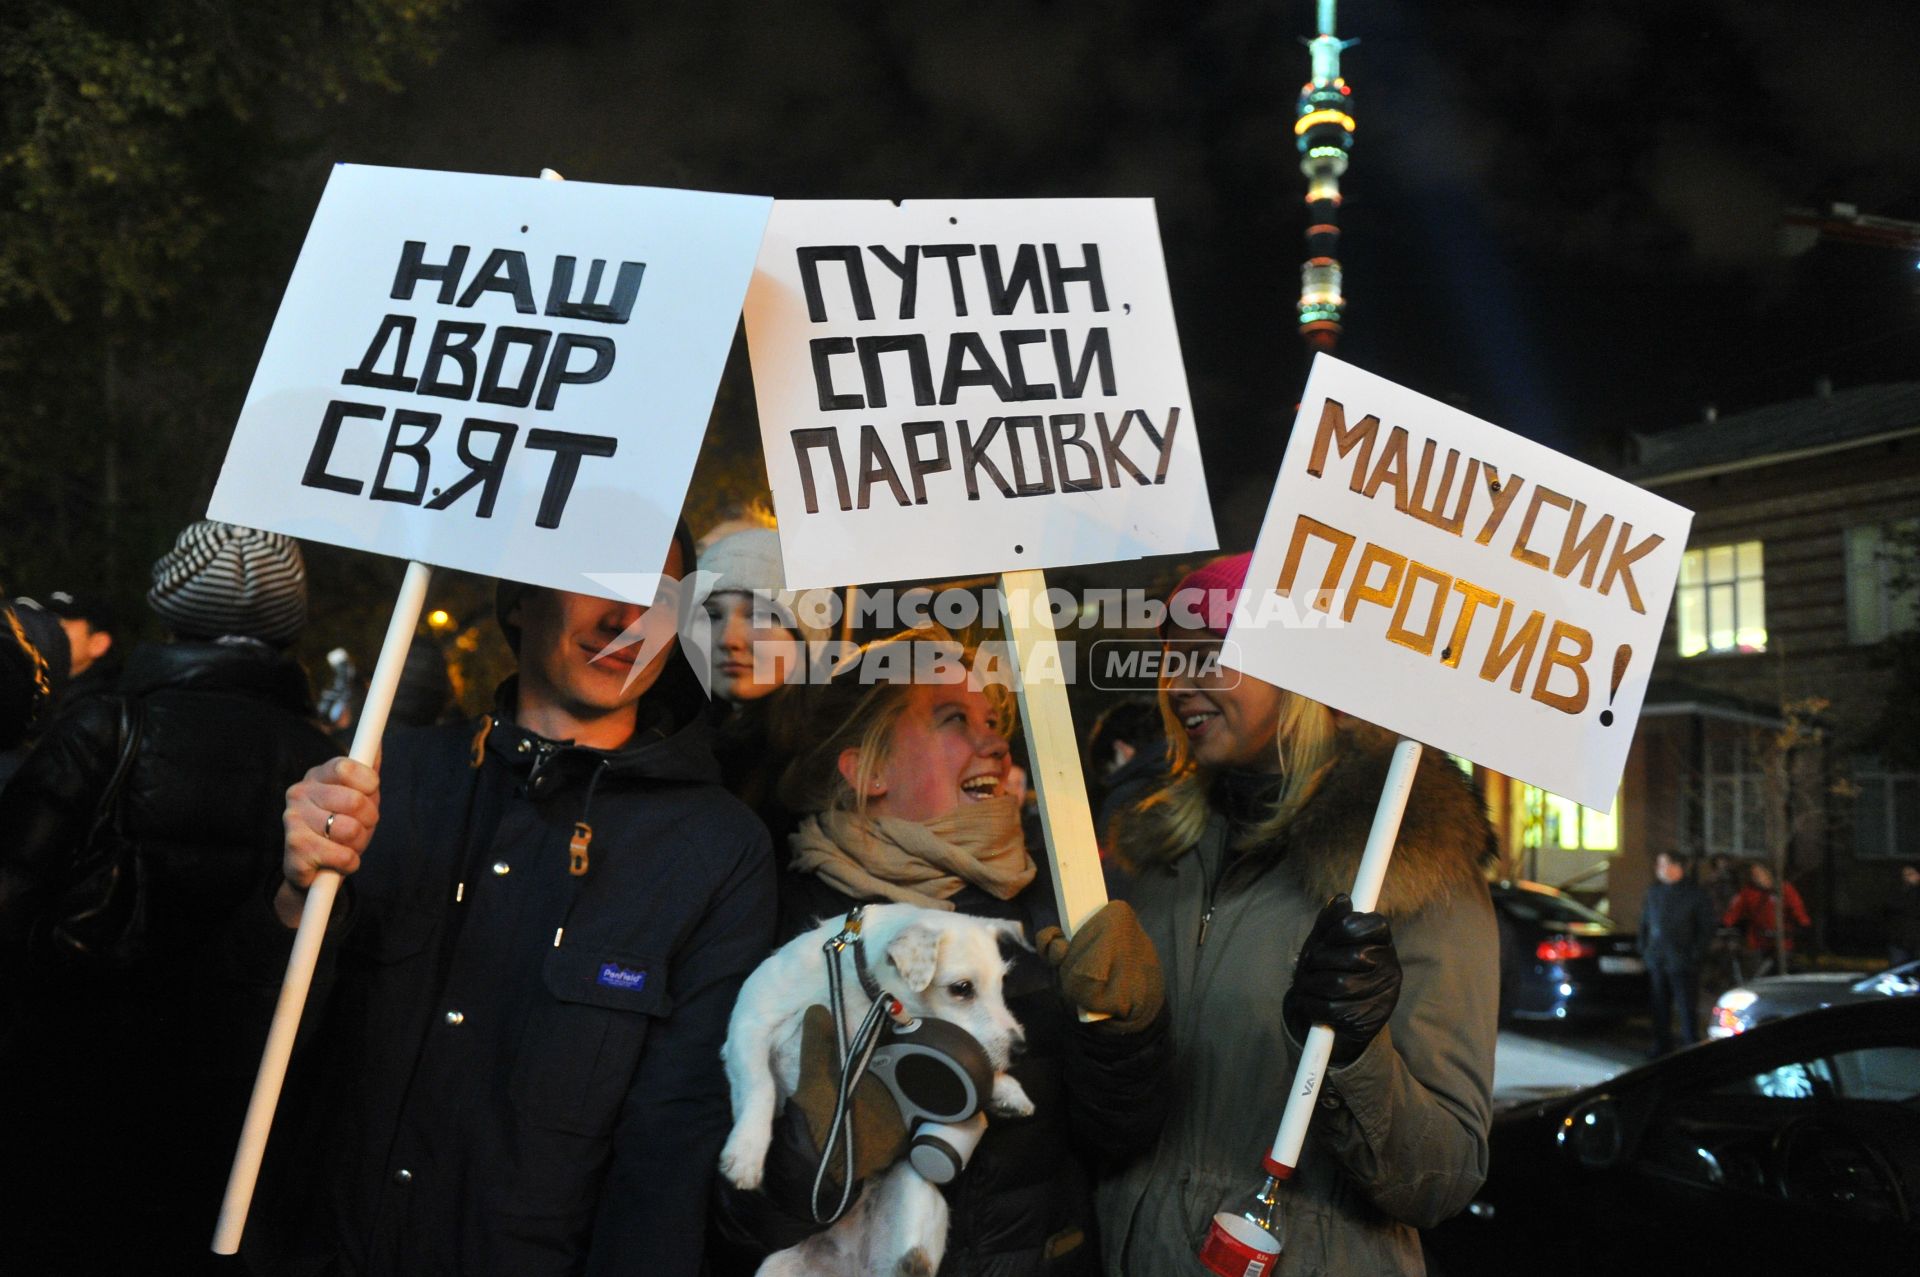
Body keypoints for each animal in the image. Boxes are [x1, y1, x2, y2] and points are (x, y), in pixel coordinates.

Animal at [721, 902, 1036, 1267]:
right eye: (961, 988)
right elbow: (760, 1086)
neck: (858, 992)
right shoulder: (750, 1024)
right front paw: (747, 1152)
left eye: (1002, 984)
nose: (1021, 1050)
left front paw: (1006, 1090)